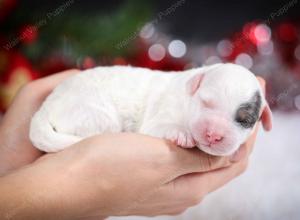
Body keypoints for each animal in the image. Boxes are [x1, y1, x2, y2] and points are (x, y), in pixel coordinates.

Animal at [29, 63, 272, 155]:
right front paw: (182, 134)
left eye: (244, 120)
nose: (213, 135)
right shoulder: (158, 119)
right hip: (94, 113)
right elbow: (161, 125)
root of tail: (46, 106)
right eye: (206, 103)